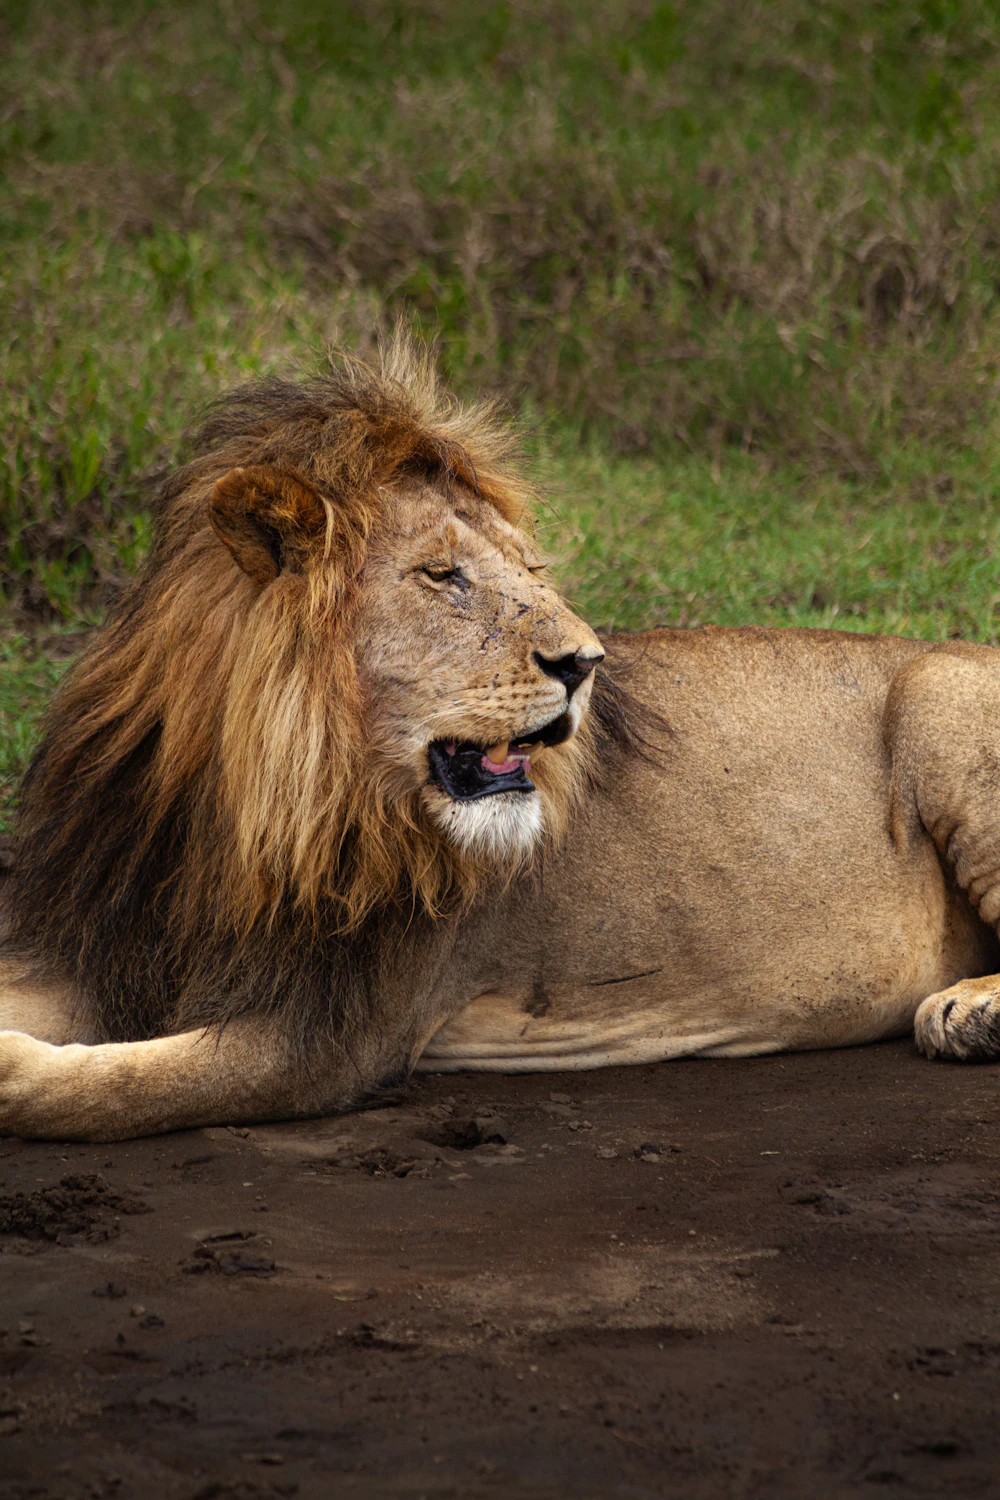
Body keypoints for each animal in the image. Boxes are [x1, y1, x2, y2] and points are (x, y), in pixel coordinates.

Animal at [1, 335, 1000, 1142]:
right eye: (443, 576)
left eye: (529, 571)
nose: (586, 662)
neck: (245, 803)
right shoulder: (110, 943)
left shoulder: (326, 1037)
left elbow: (117, 1089)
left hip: (942, 695)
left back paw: (967, 1013)